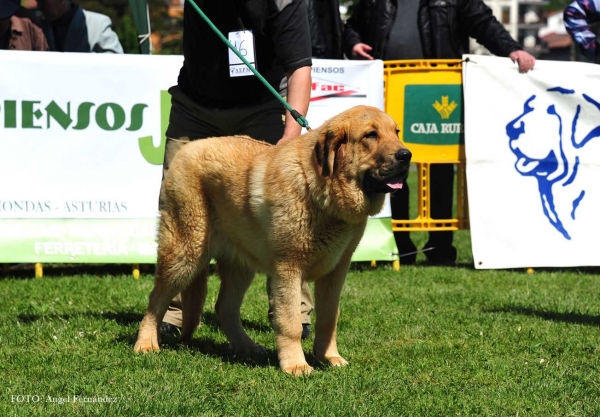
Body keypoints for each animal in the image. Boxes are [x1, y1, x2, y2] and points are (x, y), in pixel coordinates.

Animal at [133, 104, 410, 374]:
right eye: (370, 135)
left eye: (396, 132)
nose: (406, 155)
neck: (321, 191)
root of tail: (187, 150)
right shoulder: (288, 269)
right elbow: (290, 322)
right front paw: (296, 365)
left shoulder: (336, 272)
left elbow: (329, 318)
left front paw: (329, 358)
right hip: (185, 253)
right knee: (156, 300)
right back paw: (146, 344)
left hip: (239, 265)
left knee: (225, 307)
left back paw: (246, 346)